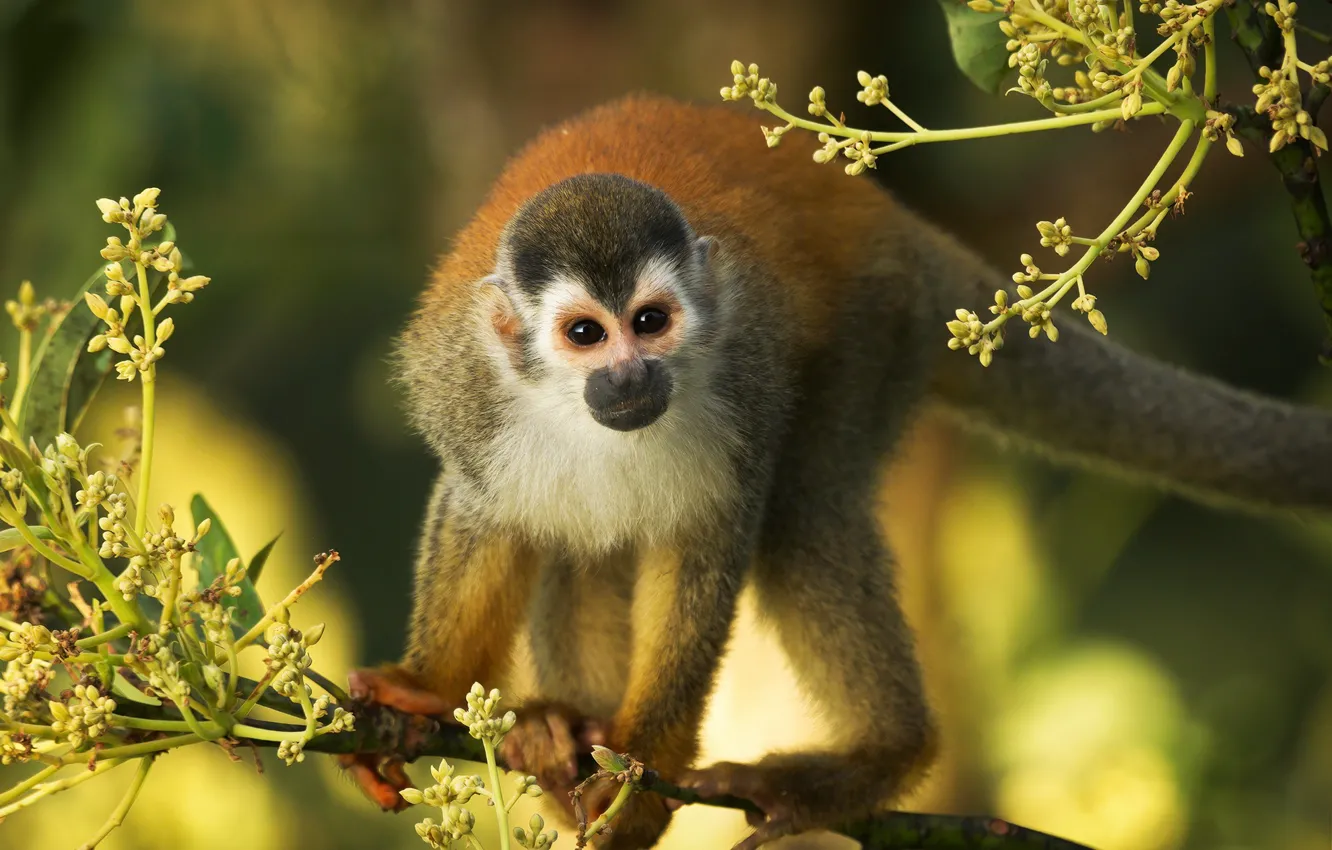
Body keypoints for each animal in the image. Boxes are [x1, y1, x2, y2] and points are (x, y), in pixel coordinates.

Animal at [339, 94, 1332, 849]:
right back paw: (561, 733)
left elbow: (718, 535)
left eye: (650, 322)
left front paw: (644, 777)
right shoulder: (468, 393)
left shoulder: (747, 378)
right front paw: (425, 689)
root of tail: (891, 217)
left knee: (803, 514)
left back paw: (878, 760)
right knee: (588, 539)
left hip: (874, 322)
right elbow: (484, 510)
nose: (630, 376)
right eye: (586, 334)